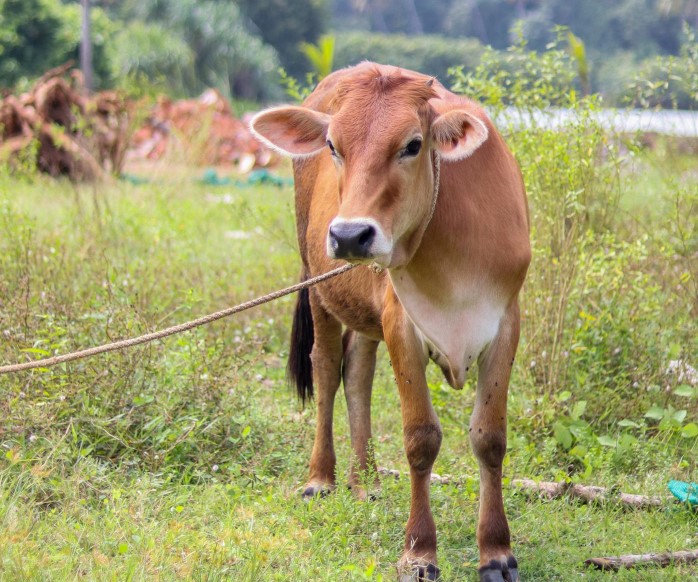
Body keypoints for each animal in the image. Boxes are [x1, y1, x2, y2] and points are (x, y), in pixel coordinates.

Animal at [250, 61, 528, 580]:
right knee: (326, 368)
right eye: (333, 146)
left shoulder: (506, 321)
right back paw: (322, 478)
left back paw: (366, 480)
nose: (349, 234)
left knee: (358, 371)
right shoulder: (402, 322)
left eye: (413, 145)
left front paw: (496, 551)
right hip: (318, 283)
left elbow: (490, 438)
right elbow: (421, 438)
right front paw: (420, 551)